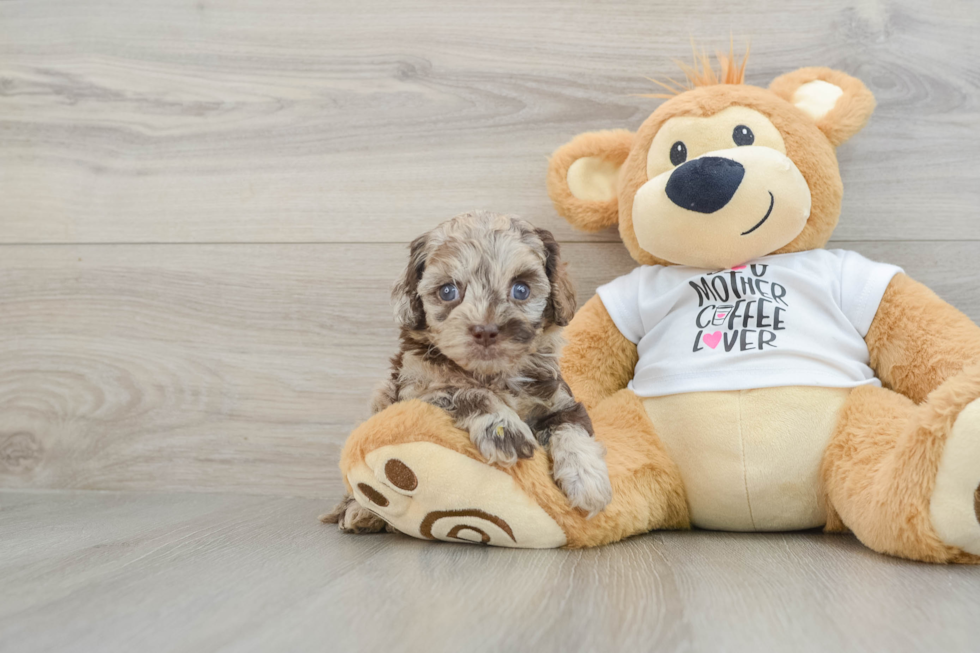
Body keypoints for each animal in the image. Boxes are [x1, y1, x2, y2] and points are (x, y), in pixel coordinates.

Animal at [324, 211, 612, 532]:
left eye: (521, 289)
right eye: (448, 291)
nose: (486, 331)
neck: (493, 374)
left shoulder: (556, 397)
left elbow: (571, 425)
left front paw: (588, 479)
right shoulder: (418, 391)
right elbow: (465, 390)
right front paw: (503, 428)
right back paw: (361, 512)